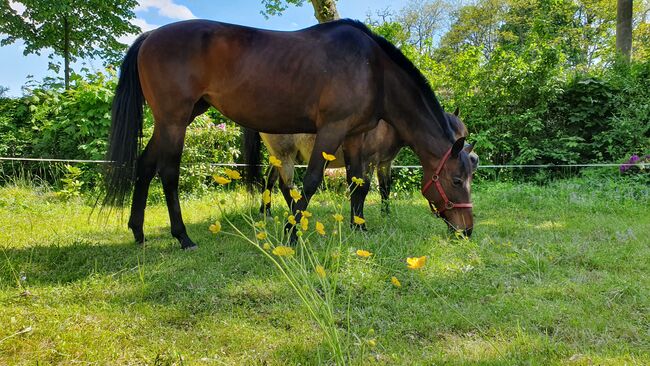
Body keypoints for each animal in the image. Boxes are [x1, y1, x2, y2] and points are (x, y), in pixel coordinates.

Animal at [243, 109, 476, 229]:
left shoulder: (384, 163)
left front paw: (385, 215)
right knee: (285, 186)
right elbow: (361, 190)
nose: (474, 159)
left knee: (269, 181)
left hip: (278, 158)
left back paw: (267, 212)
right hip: (286, 156)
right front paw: (358, 223)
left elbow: (385, 189)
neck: (388, 125)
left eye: (464, 132)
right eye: (452, 135)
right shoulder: (367, 161)